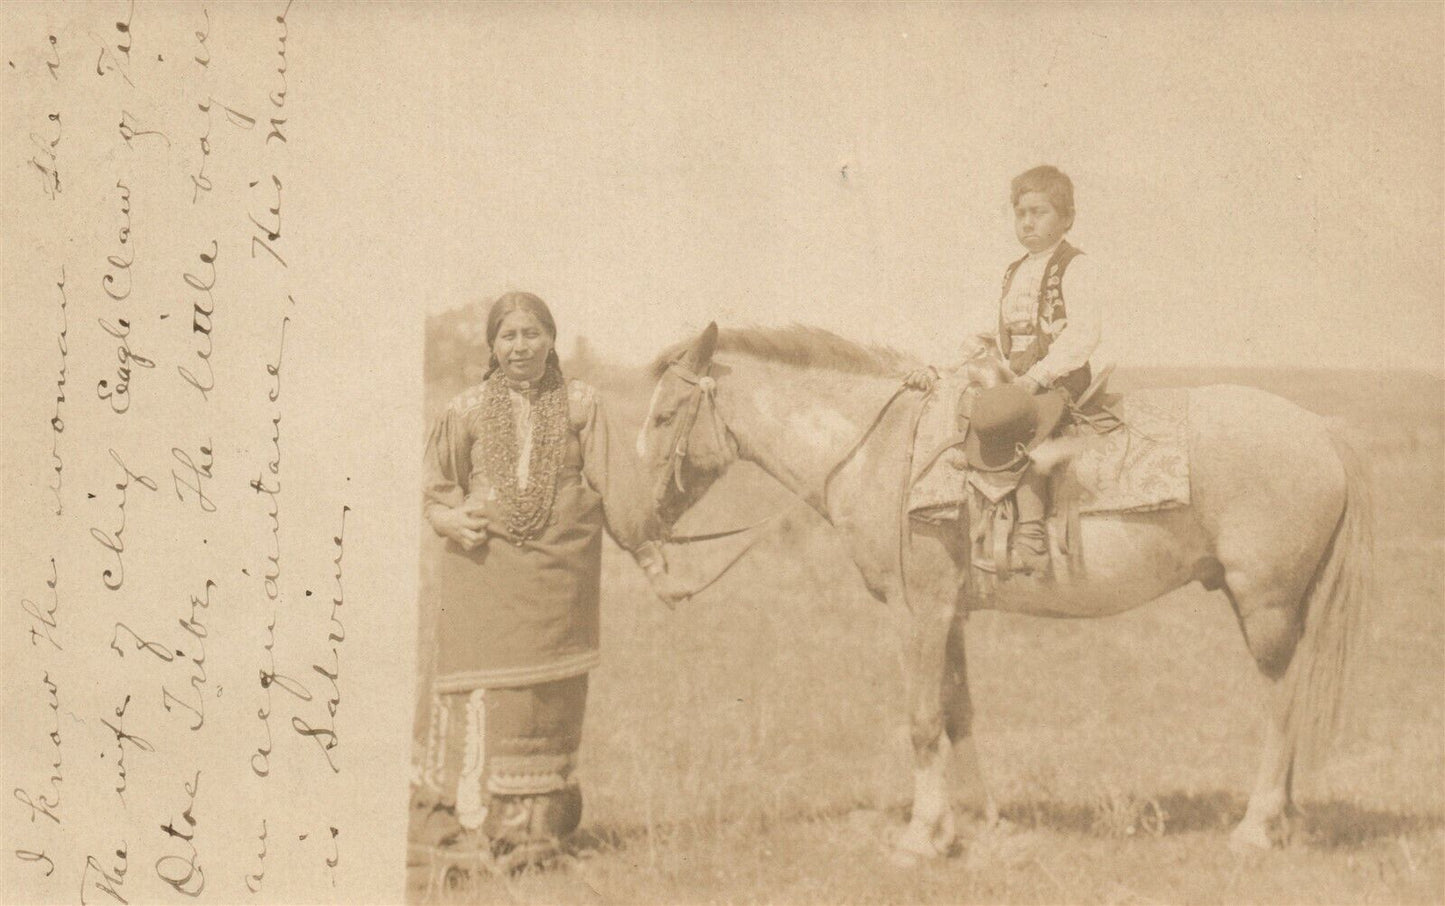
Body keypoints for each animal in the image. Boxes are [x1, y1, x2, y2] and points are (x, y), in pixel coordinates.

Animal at [638, 322, 1369, 866]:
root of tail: (1323, 429)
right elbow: (958, 712)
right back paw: (1285, 820)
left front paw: (919, 838)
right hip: (1278, 607)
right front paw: (975, 825)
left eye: (668, 413)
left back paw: (1256, 827)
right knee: (1293, 697)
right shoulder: (950, 614)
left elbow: (921, 720)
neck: (882, 450)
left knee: (1280, 703)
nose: (643, 517)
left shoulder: (919, 613)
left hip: (1264, 604)